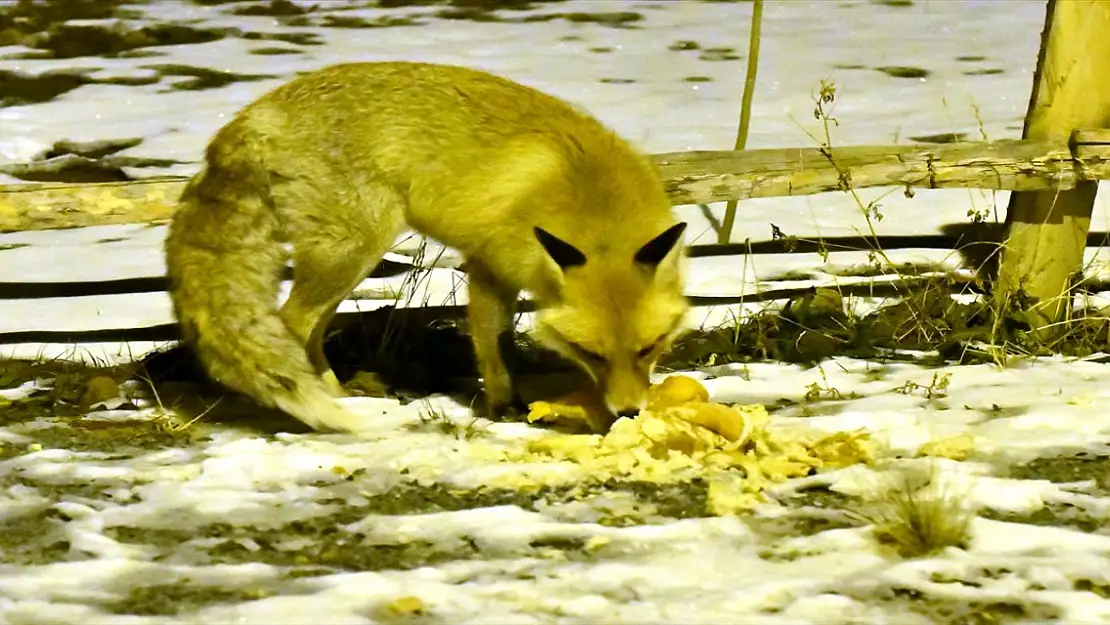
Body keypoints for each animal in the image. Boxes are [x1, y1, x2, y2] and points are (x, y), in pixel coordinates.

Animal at [163, 62, 688, 435]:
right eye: (590, 354)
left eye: (649, 348)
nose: (628, 413)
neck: (590, 200)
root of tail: (251, 116)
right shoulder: (489, 263)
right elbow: (495, 343)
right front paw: (505, 407)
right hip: (354, 247)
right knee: (292, 323)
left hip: (351, 257)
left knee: (312, 330)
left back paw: (342, 394)